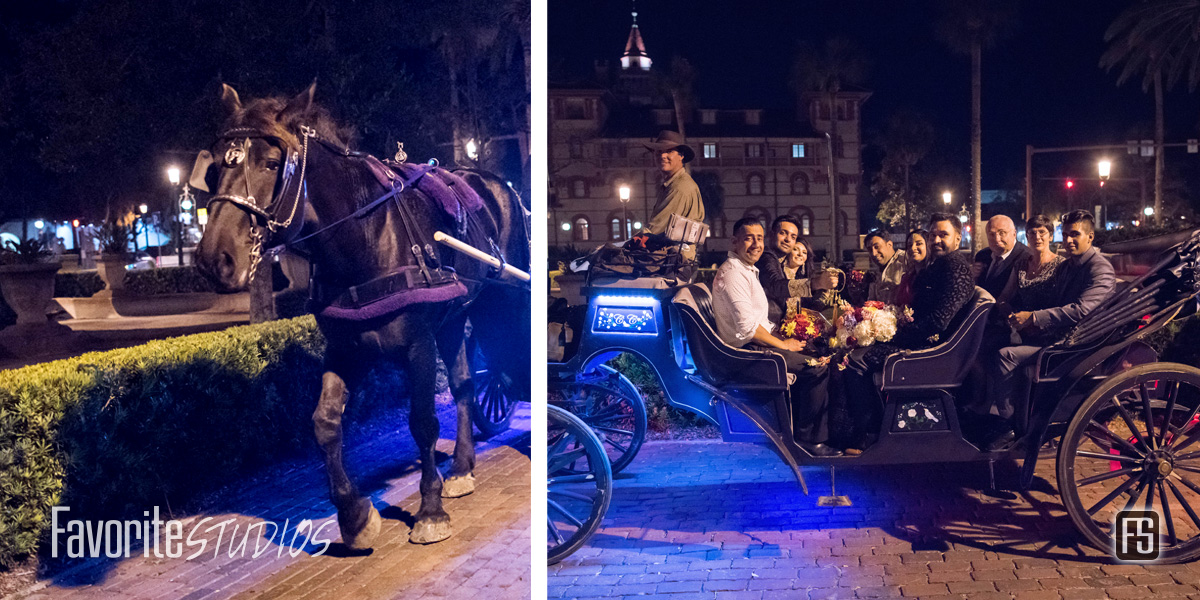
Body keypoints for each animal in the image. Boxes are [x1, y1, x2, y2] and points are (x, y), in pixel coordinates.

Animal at [194, 84, 528, 549]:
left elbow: (422, 422)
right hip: (454, 314)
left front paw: (429, 510)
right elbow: (324, 423)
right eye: (214, 170)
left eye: (272, 163)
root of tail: (494, 182)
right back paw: (462, 466)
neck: (367, 239)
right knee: (464, 382)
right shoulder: (346, 347)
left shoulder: (418, 343)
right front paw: (354, 515)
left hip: (498, 297)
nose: (214, 261)